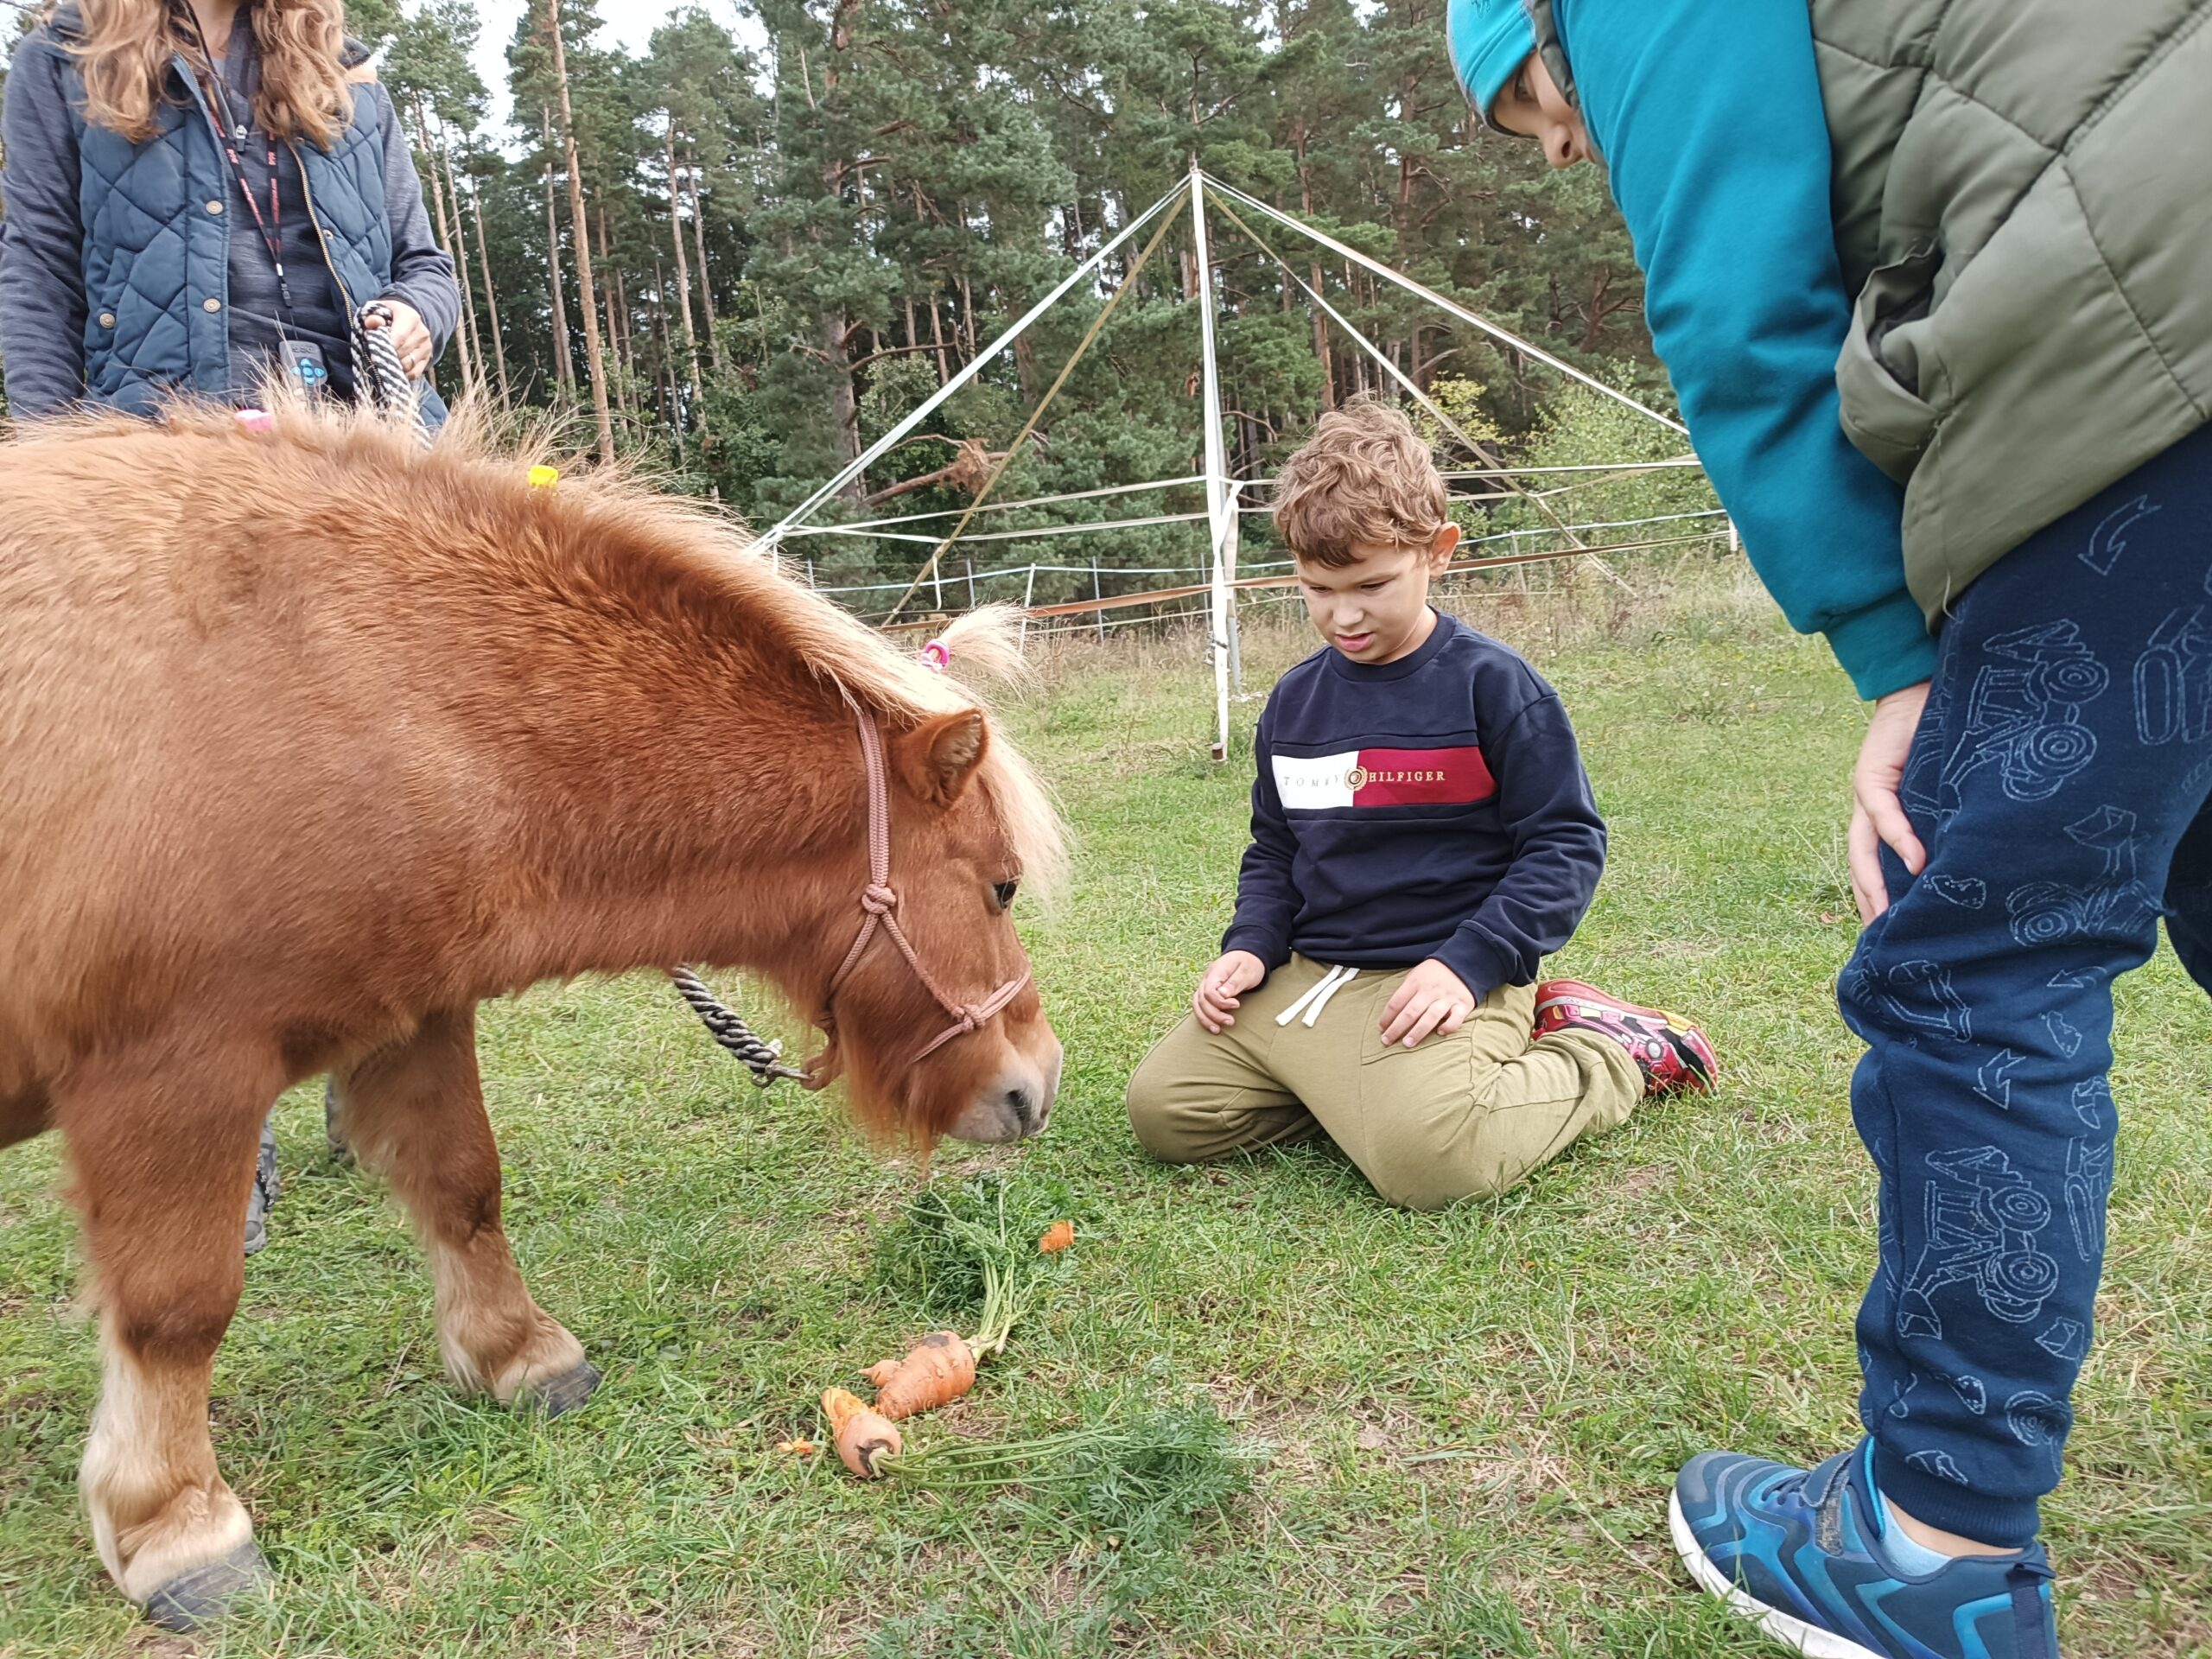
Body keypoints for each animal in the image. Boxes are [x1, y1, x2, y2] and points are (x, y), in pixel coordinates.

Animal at [0, 400, 1061, 1628]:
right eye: (1000, 886)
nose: (1038, 1079)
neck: (353, 679)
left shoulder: (408, 1017)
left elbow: (463, 1187)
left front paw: (518, 1357)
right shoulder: (172, 1074)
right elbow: (178, 1305)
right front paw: (174, 1526)